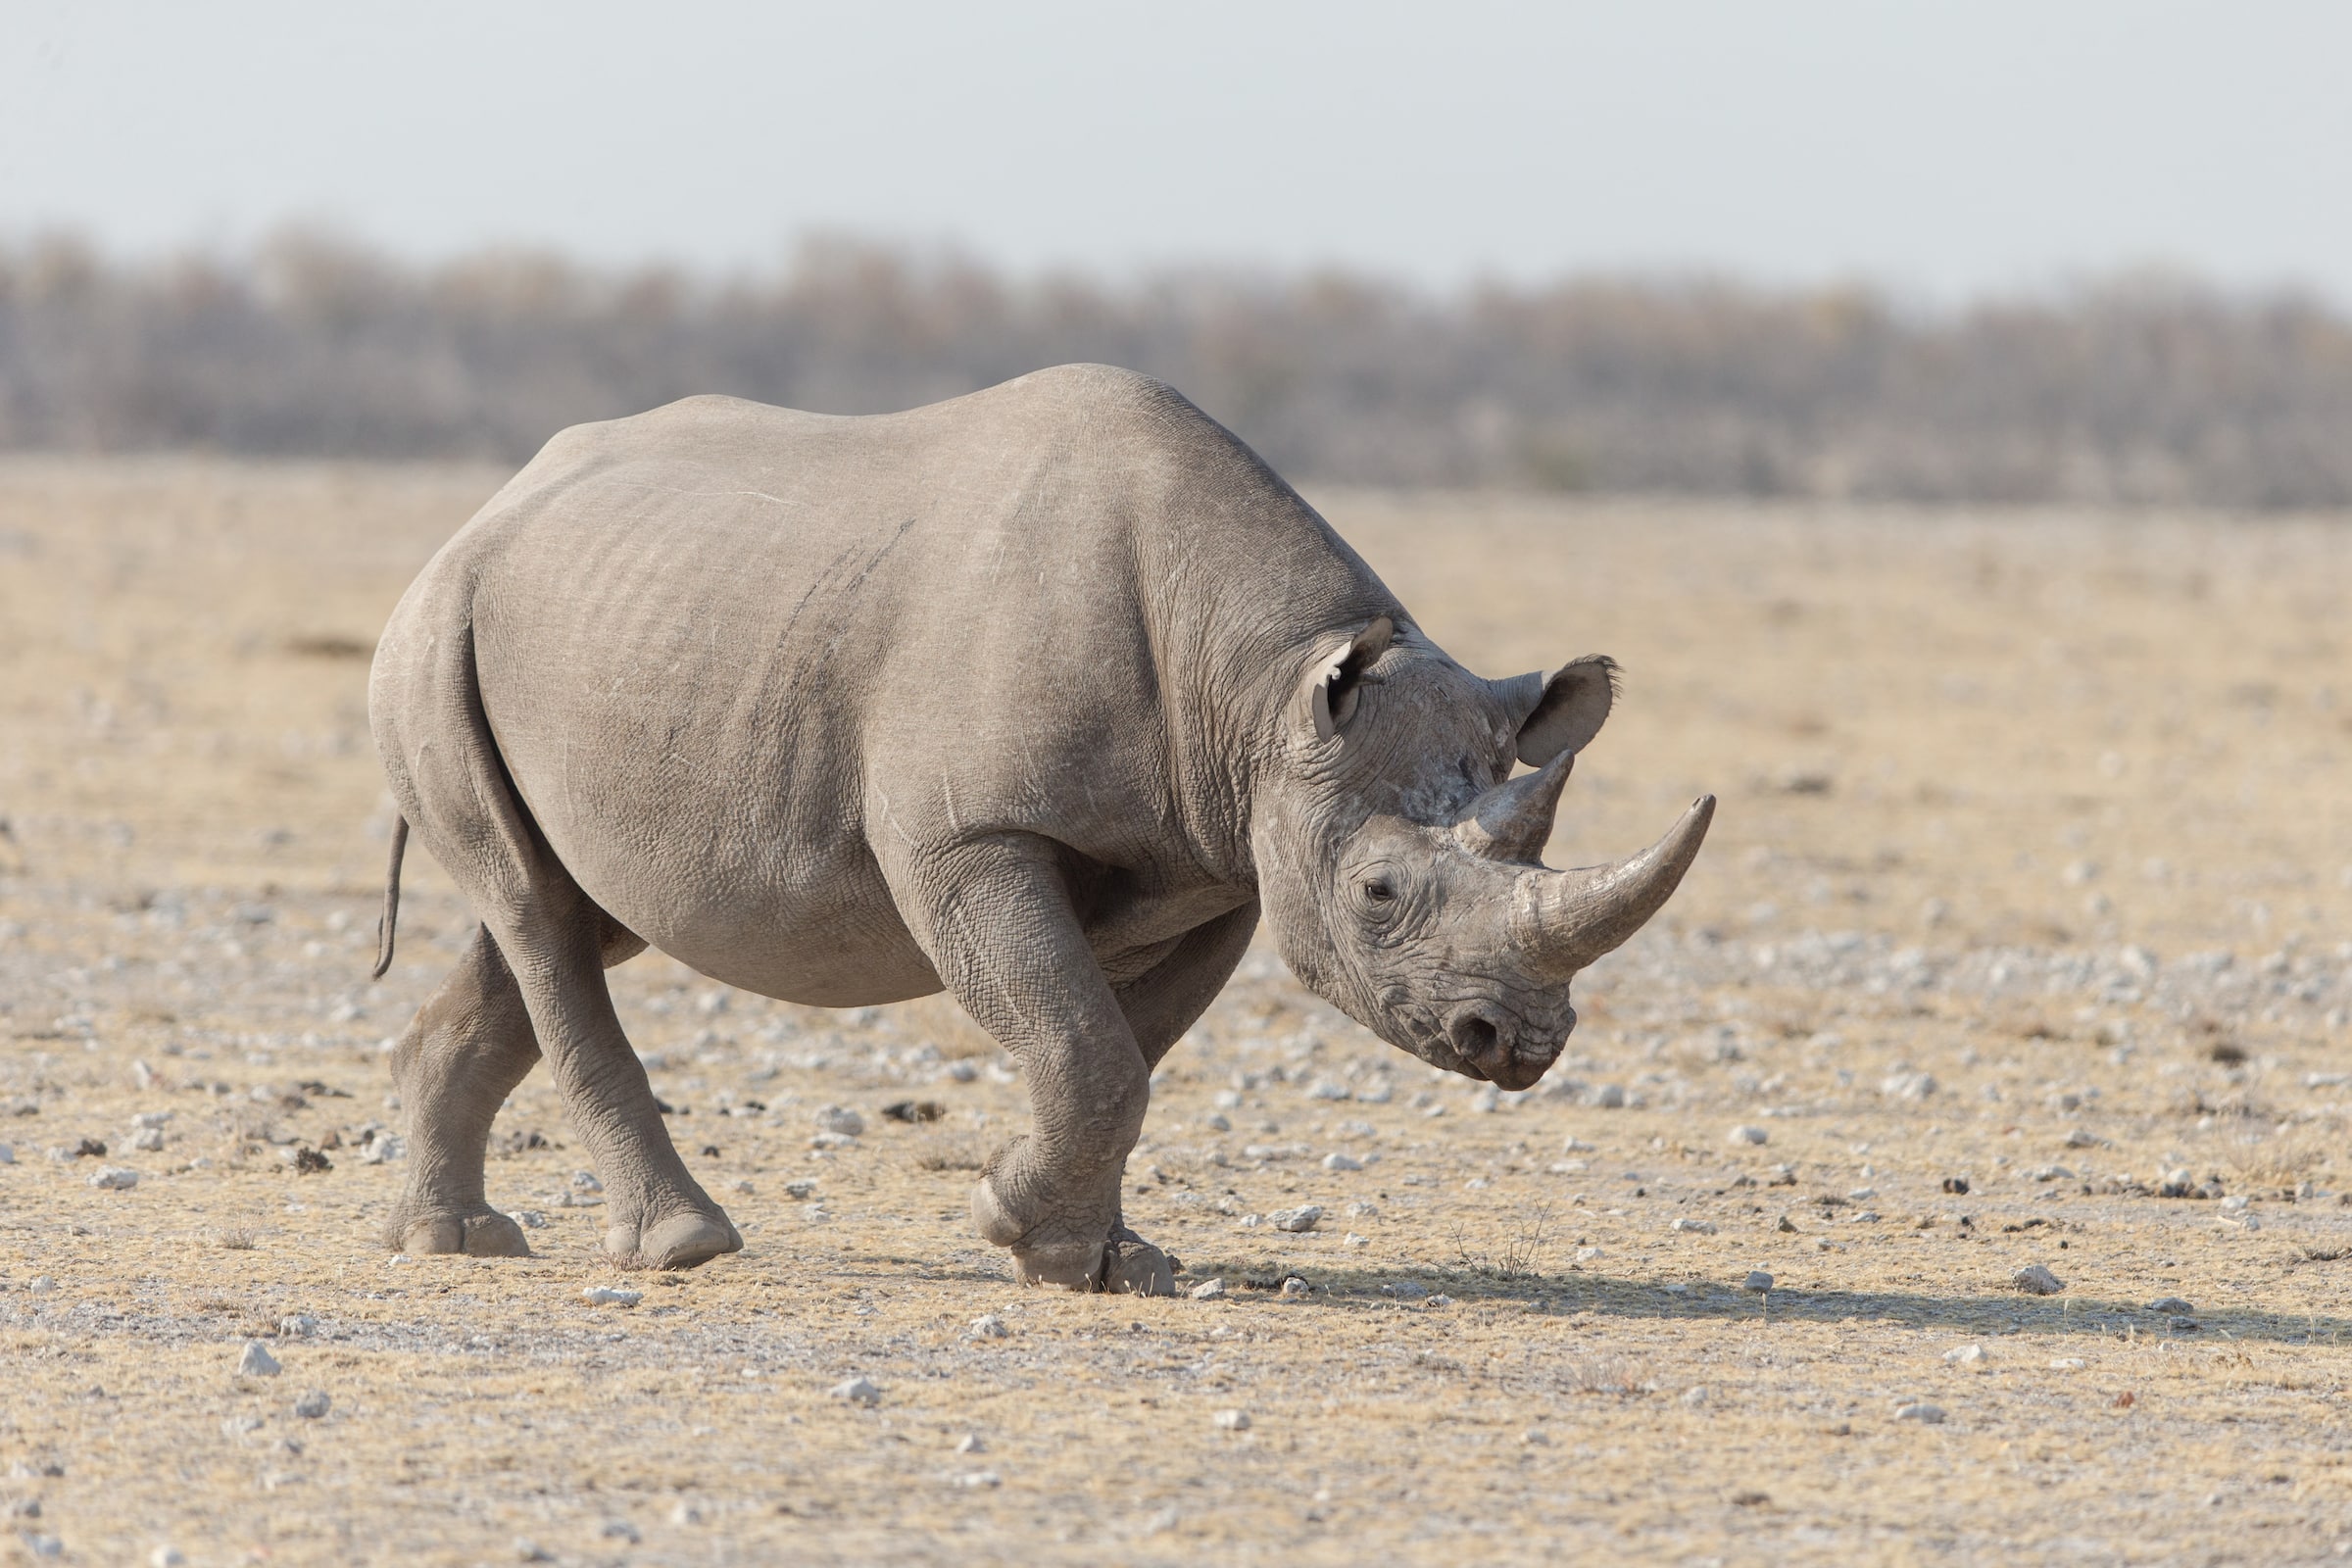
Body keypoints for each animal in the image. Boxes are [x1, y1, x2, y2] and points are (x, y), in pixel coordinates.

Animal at [366, 363, 1713, 1291]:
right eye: (1379, 894)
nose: (1519, 1044)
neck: (1261, 685)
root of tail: (491, 506)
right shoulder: (972, 838)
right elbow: (1087, 1044)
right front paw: (1021, 1229)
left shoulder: (1222, 864)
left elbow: (1121, 1046)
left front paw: (1098, 1261)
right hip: (436, 625)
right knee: (538, 912)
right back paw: (684, 1247)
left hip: (592, 625)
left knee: (567, 913)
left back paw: (455, 1240)